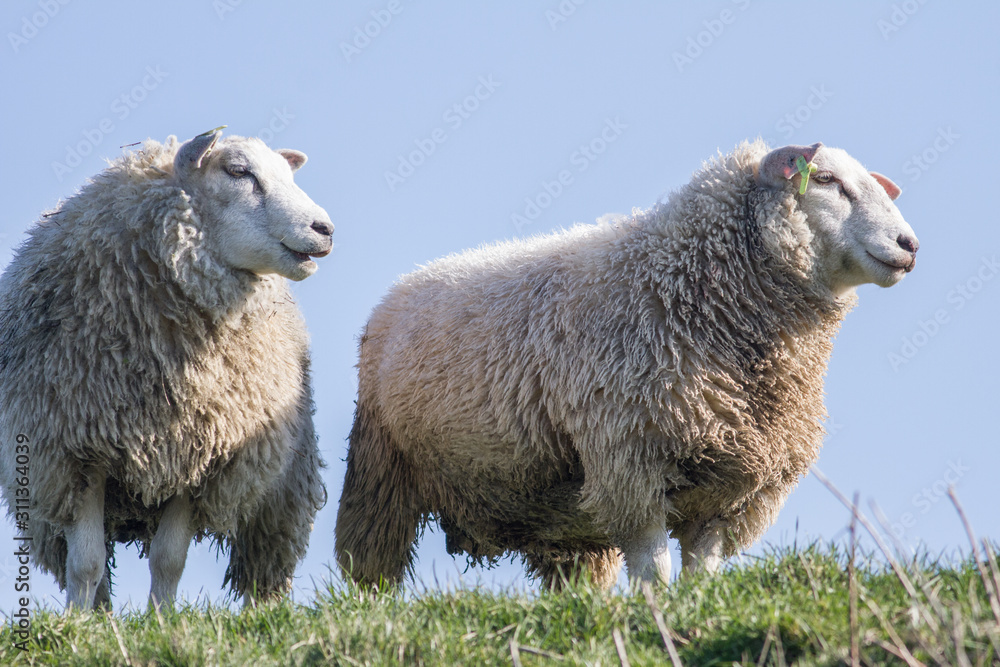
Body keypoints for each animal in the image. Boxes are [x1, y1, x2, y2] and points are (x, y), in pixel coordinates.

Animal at [0, 130, 332, 610]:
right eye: (238, 171)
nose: (324, 230)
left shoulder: (200, 456)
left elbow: (169, 560)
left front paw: (162, 618)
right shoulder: (77, 455)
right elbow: (86, 563)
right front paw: (79, 621)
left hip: (284, 490)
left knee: (265, 563)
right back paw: (97, 612)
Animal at [335, 140, 919, 590]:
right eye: (826, 180)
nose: (909, 245)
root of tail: (406, 283)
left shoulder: (731, 487)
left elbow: (702, 570)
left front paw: (697, 608)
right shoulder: (629, 462)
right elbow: (653, 566)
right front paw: (656, 614)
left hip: (555, 515)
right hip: (380, 470)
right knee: (370, 568)